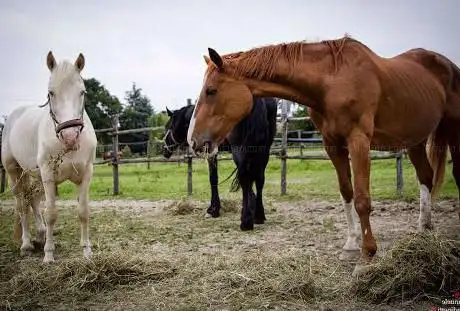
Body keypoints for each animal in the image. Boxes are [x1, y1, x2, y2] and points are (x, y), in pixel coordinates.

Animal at [1, 51, 97, 264]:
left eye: (82, 92)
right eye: (51, 93)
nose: (70, 138)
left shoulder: (86, 174)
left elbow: (83, 212)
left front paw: (87, 252)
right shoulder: (47, 174)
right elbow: (51, 213)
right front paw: (49, 254)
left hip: (34, 176)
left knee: (34, 200)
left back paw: (40, 234)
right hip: (14, 172)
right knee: (22, 204)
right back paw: (27, 244)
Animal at [162, 97, 276, 232]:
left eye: (167, 126)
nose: (164, 150)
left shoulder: (212, 152)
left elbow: (213, 178)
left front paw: (213, 210)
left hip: (241, 150)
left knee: (245, 179)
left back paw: (246, 222)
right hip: (263, 151)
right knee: (259, 179)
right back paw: (259, 216)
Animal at [186, 36, 460, 264]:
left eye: (211, 91)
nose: (193, 141)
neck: (333, 80)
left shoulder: (359, 141)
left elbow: (362, 199)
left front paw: (368, 253)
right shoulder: (333, 145)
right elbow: (347, 193)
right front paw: (351, 245)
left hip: (453, 131)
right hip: (414, 140)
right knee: (426, 177)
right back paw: (424, 228)